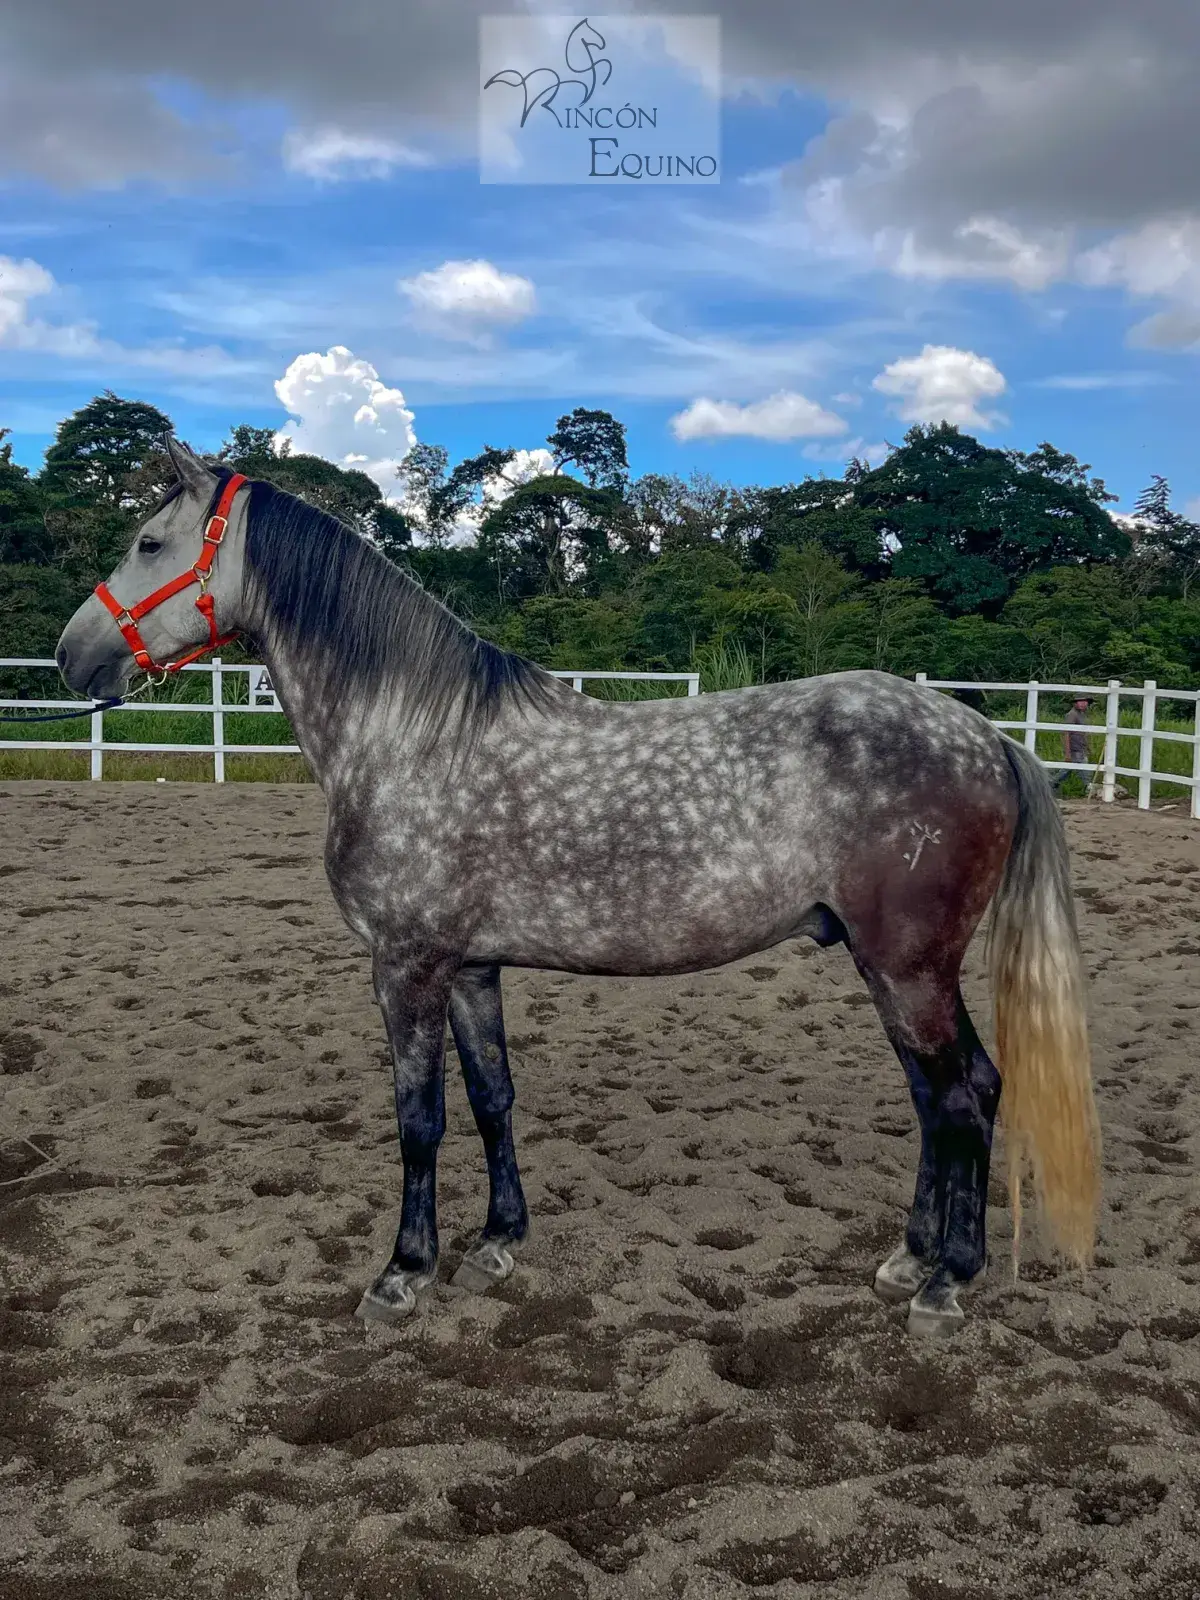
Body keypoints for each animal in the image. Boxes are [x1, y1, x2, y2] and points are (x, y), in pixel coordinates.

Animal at [55, 439, 1101, 1338]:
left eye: (150, 543)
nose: (72, 655)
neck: (407, 736)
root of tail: (989, 736)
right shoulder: (470, 968)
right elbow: (492, 1098)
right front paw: (496, 1244)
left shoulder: (406, 967)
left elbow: (418, 1119)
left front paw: (402, 1273)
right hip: (889, 968)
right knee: (938, 1099)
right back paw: (907, 1259)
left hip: (911, 966)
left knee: (964, 1096)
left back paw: (946, 1283)